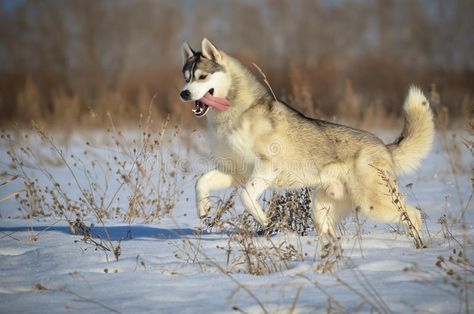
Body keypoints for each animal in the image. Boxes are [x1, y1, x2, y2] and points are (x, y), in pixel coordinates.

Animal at [179, 38, 434, 237]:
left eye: (202, 77)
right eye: (186, 77)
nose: (184, 93)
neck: (233, 114)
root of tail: (384, 146)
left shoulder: (265, 169)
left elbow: (246, 198)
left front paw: (266, 221)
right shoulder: (235, 170)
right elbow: (201, 182)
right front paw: (203, 208)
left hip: (373, 204)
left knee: (414, 215)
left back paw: (418, 246)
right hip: (322, 209)